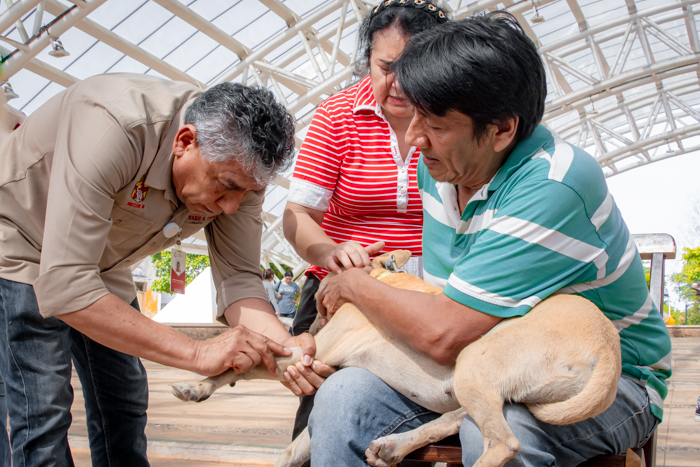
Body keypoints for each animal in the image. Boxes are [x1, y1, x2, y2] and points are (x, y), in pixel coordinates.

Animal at [172, 252, 620, 467]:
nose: (305, 316)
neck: (378, 277)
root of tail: (608, 347)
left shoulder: (305, 352)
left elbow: (243, 364)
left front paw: (197, 385)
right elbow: (293, 451)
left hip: (474, 362)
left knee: (504, 444)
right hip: (476, 384)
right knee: (456, 418)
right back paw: (394, 445)